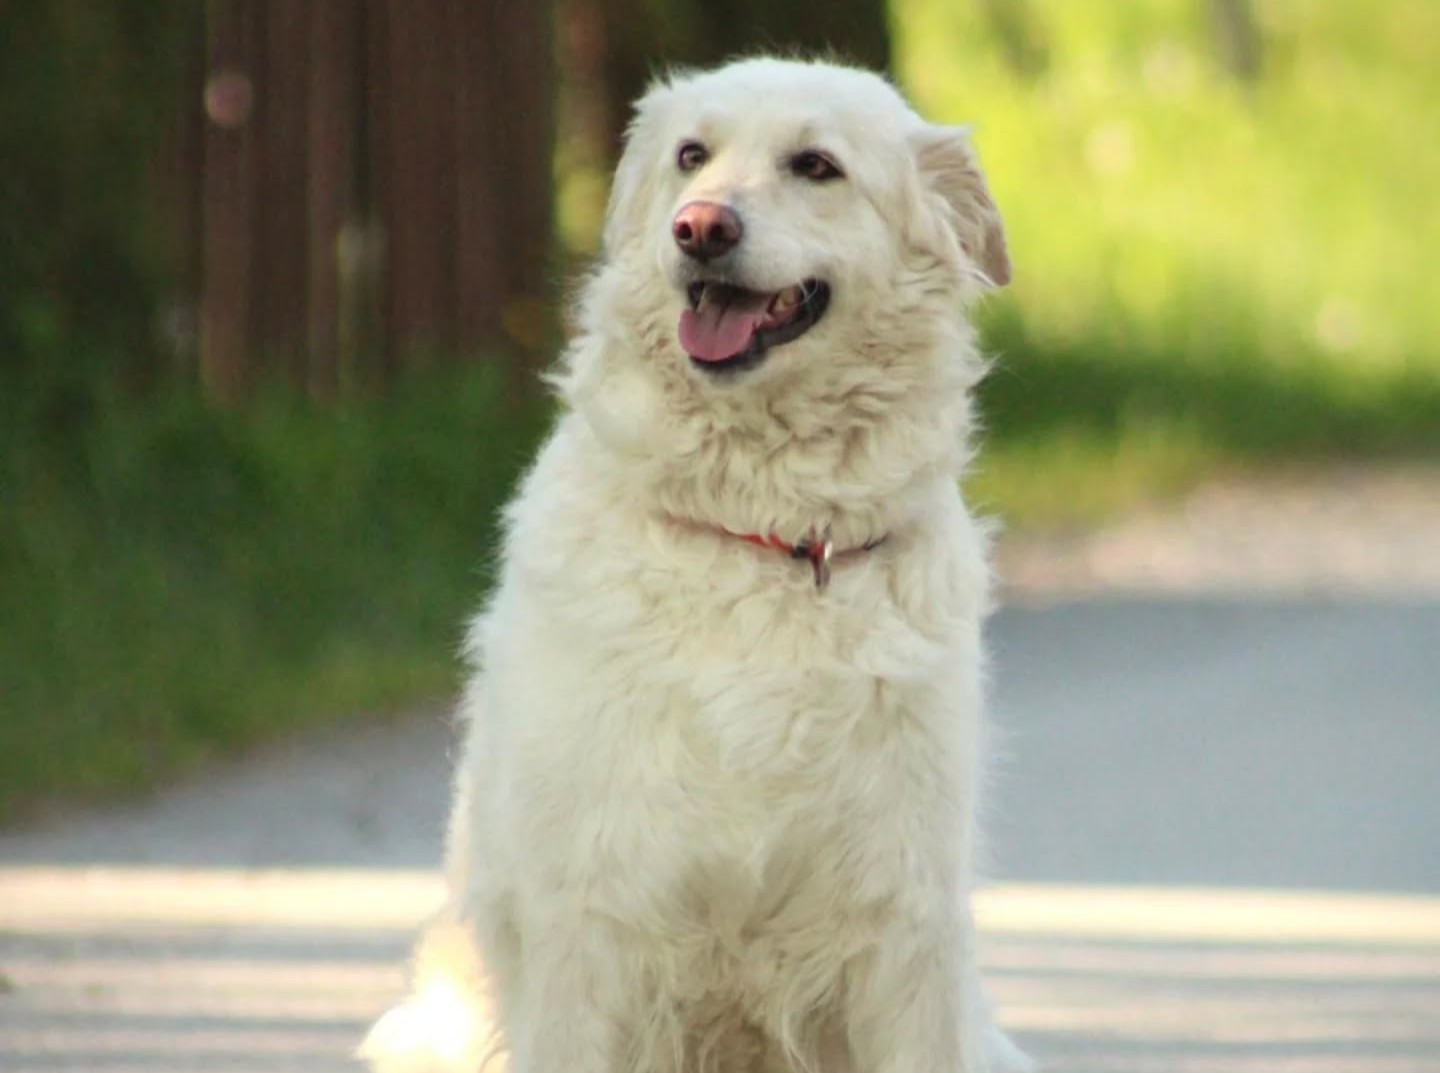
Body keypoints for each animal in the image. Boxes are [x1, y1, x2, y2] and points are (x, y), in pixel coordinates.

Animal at [363, 56, 1024, 1073]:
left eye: (817, 165)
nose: (701, 227)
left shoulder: (903, 928)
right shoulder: (587, 925)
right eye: (691, 156)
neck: (762, 535)